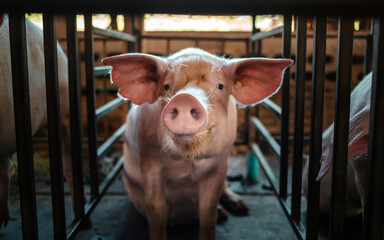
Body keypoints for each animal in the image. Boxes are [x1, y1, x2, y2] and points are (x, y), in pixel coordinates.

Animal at [102, 47, 292, 239]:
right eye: (166, 87)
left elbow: (208, 211)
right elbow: (157, 212)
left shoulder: (219, 165)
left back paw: (239, 208)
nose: (185, 99)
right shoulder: (149, 163)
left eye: (220, 86)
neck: (188, 160)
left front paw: (220, 214)